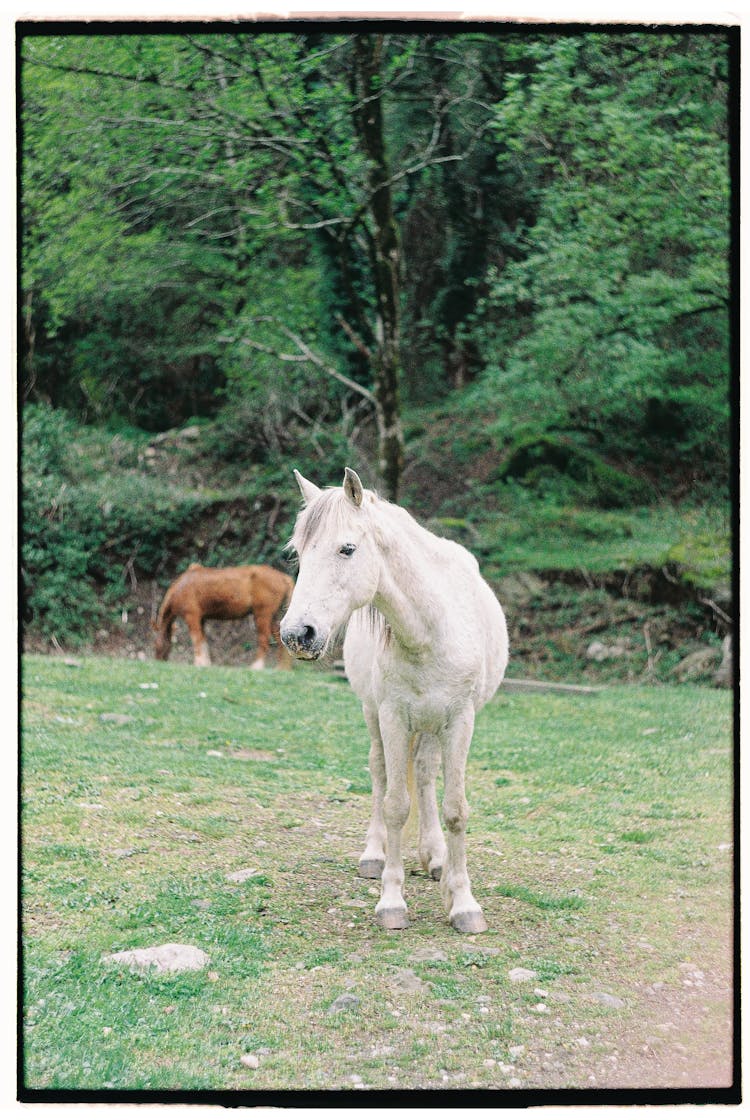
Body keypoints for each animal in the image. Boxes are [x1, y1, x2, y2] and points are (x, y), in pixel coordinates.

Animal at [152, 564, 293, 667]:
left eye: (155, 645)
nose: (158, 661)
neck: (181, 587)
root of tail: (283, 577)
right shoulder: (201, 619)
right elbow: (203, 641)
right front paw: (206, 663)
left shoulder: (192, 617)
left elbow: (196, 640)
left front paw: (199, 663)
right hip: (273, 617)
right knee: (279, 640)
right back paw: (282, 668)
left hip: (263, 615)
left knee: (263, 639)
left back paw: (257, 667)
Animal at [282, 468, 510, 931]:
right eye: (298, 553)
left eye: (347, 548)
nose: (297, 634)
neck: (430, 628)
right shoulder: (392, 716)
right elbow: (394, 805)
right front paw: (391, 900)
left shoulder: (460, 720)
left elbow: (455, 808)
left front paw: (463, 902)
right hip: (376, 714)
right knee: (381, 771)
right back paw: (375, 854)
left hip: (431, 725)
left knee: (422, 773)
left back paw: (435, 858)